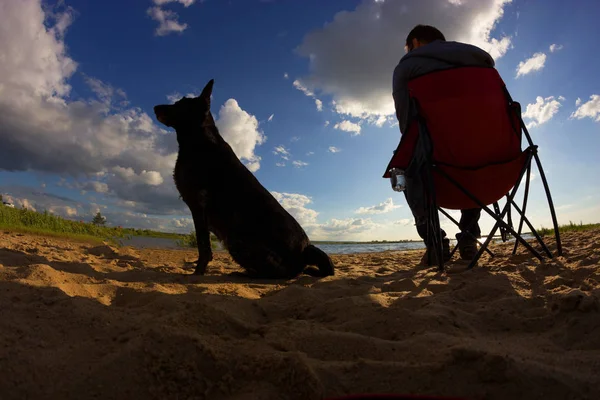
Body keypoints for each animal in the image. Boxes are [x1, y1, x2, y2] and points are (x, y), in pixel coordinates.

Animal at [152, 78, 336, 278]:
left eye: (179, 104)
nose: (154, 107)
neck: (199, 141)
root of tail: (305, 251)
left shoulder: (198, 205)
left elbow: (203, 246)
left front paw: (197, 272)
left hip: (237, 241)